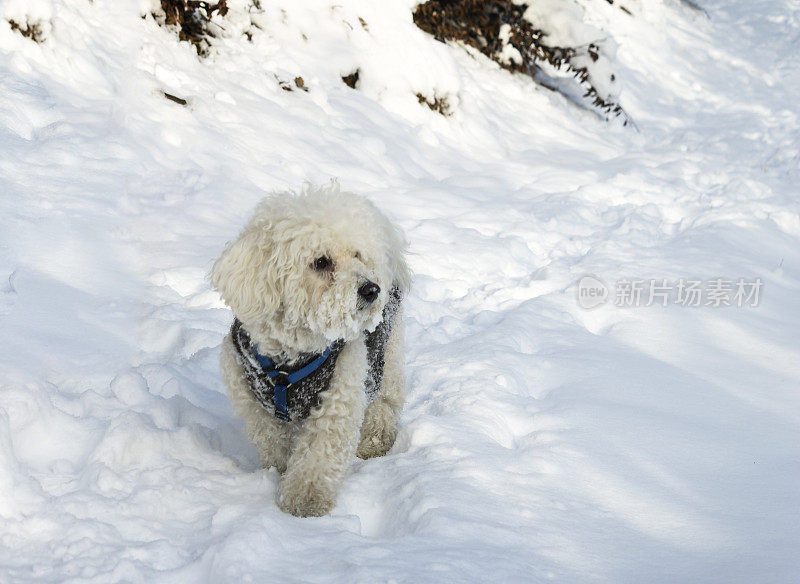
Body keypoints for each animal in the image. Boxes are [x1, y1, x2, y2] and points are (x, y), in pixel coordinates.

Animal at [211, 182, 410, 516]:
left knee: (385, 402)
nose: (372, 289)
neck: (289, 359)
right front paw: (279, 472)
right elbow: (273, 443)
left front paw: (305, 501)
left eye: (357, 254)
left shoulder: (339, 393)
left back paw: (375, 439)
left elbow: (319, 455)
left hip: (388, 353)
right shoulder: (252, 402)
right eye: (321, 262)